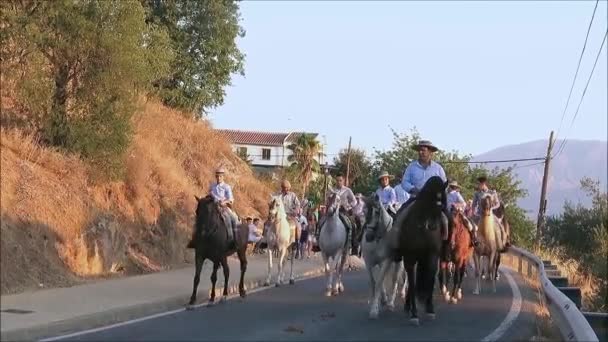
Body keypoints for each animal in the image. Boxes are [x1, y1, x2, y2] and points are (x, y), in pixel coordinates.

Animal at [370, 176, 446, 326]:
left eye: (441, 206)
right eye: (431, 202)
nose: (434, 227)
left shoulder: (432, 256)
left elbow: (429, 278)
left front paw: (430, 309)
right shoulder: (410, 258)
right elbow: (411, 281)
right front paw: (414, 314)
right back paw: (407, 306)